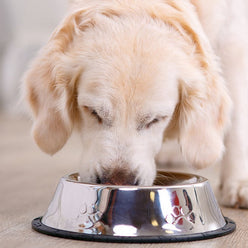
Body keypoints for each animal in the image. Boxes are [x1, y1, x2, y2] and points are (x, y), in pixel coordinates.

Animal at [22, 0, 248, 208]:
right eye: (93, 112)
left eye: (156, 120)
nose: (117, 181)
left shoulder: (232, 40)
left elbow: (237, 123)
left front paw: (239, 182)